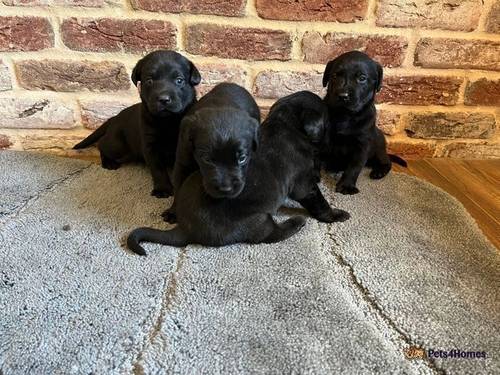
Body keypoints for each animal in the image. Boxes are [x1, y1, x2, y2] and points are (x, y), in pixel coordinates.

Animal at [73, 51, 201, 198]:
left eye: (179, 80)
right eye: (149, 81)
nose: (163, 99)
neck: (167, 120)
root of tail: (114, 117)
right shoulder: (150, 146)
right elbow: (157, 169)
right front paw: (162, 189)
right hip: (118, 145)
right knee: (102, 145)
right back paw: (108, 162)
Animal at [127, 89, 350, 256]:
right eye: (328, 122)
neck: (285, 123)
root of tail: (184, 228)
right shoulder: (304, 185)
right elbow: (320, 203)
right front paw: (336, 215)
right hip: (258, 220)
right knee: (271, 235)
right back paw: (296, 222)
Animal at [320, 51, 406, 195]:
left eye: (362, 78)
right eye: (335, 75)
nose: (343, 96)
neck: (345, 115)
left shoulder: (362, 145)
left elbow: (354, 167)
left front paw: (346, 185)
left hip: (378, 150)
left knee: (387, 162)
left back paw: (379, 172)